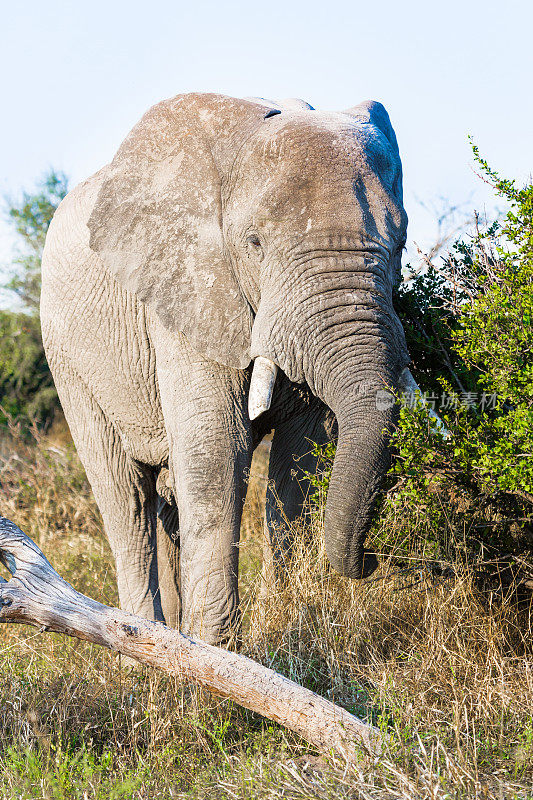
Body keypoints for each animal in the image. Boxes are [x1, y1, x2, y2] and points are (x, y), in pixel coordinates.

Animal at [42, 92, 416, 644]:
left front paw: (285, 624)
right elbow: (219, 453)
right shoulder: (188, 290)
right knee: (125, 496)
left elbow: (302, 464)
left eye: (402, 241)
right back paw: (142, 640)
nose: (371, 559)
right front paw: (217, 651)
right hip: (67, 355)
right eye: (254, 242)